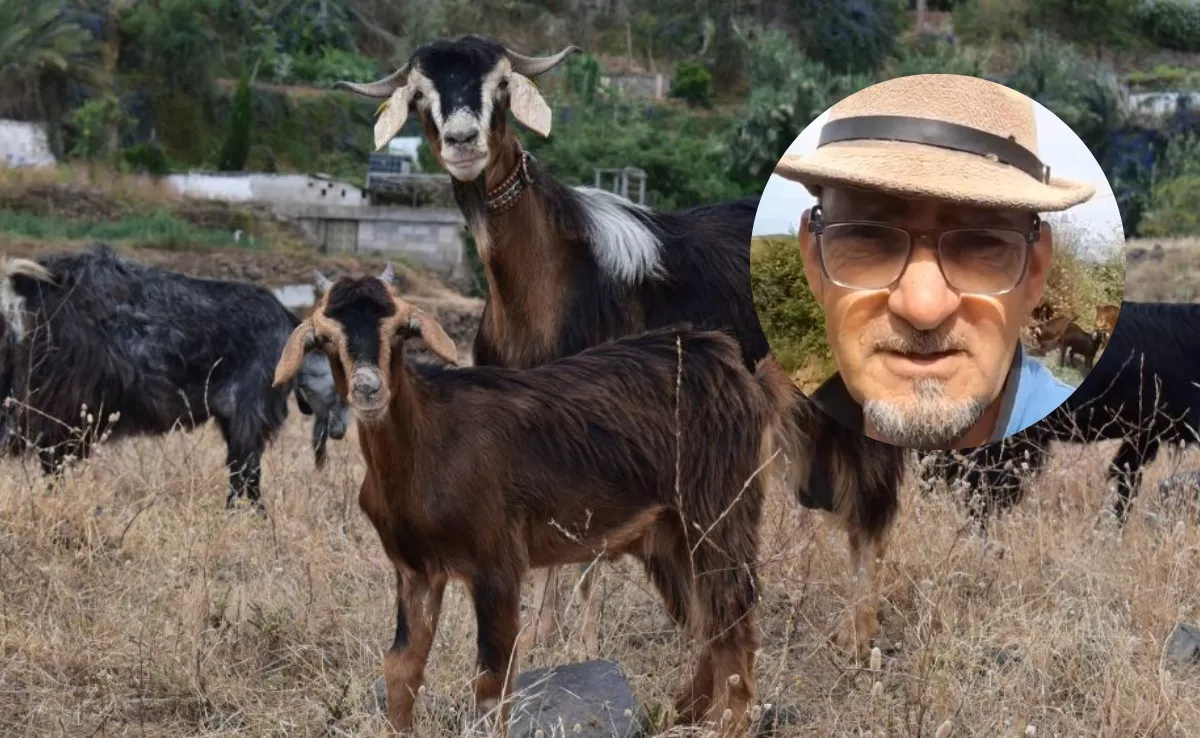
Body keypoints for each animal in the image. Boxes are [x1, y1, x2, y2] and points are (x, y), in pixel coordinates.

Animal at [272, 268, 794, 737]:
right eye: (325, 337)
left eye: (401, 329)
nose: (368, 389)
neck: (427, 441)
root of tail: (732, 366)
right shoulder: (415, 570)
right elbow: (401, 667)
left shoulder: (496, 562)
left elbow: (491, 682)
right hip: (671, 537)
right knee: (710, 622)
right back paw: (684, 714)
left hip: (720, 510)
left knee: (734, 619)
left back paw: (725, 725)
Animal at [334, 34, 905, 662]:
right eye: (418, 96)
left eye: (501, 85)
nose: (463, 141)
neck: (550, 275)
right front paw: (541, 633)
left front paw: (581, 644)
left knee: (870, 511)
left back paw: (859, 637)